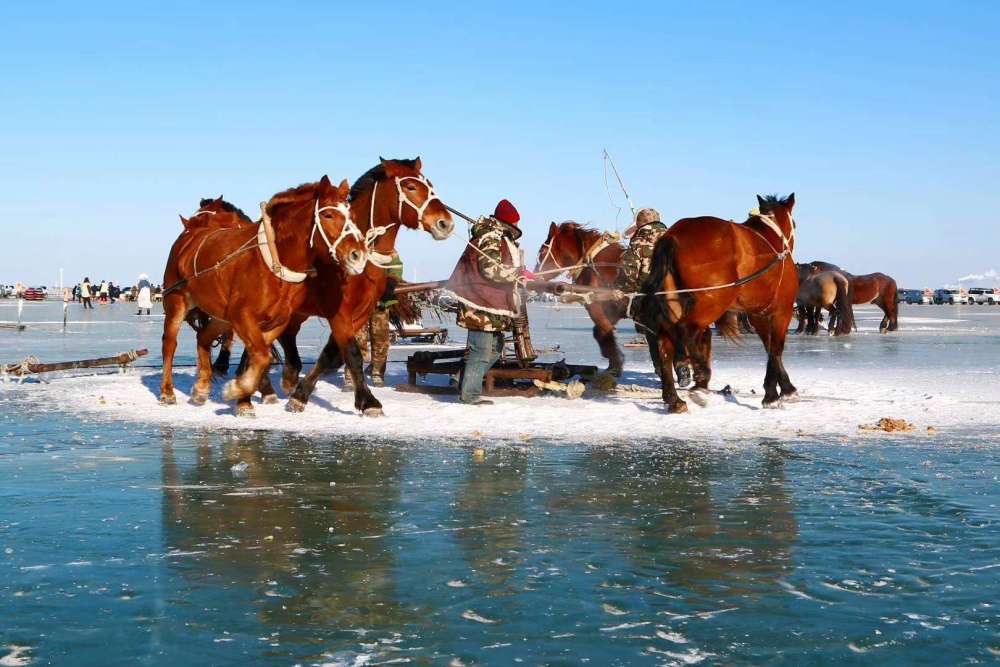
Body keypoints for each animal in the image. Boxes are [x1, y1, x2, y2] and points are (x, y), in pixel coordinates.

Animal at [160, 177, 368, 418]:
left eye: (351, 214)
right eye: (328, 215)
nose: (358, 255)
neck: (274, 263)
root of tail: (187, 241)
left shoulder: (276, 322)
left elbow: (257, 357)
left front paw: (243, 399)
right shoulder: (242, 316)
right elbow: (260, 356)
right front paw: (237, 389)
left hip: (221, 317)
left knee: (203, 336)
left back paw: (201, 387)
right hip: (176, 301)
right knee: (170, 344)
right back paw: (167, 391)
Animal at [266, 159, 454, 414]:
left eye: (430, 185)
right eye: (411, 187)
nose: (445, 223)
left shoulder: (361, 312)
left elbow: (332, 354)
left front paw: (301, 393)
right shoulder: (339, 312)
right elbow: (353, 353)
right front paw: (368, 401)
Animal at [644, 194, 800, 412]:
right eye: (794, 222)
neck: (771, 238)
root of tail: (673, 235)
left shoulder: (757, 315)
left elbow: (769, 348)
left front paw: (774, 391)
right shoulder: (781, 312)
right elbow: (776, 350)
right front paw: (780, 391)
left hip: (675, 304)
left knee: (665, 344)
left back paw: (674, 399)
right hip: (711, 304)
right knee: (687, 333)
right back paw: (700, 378)